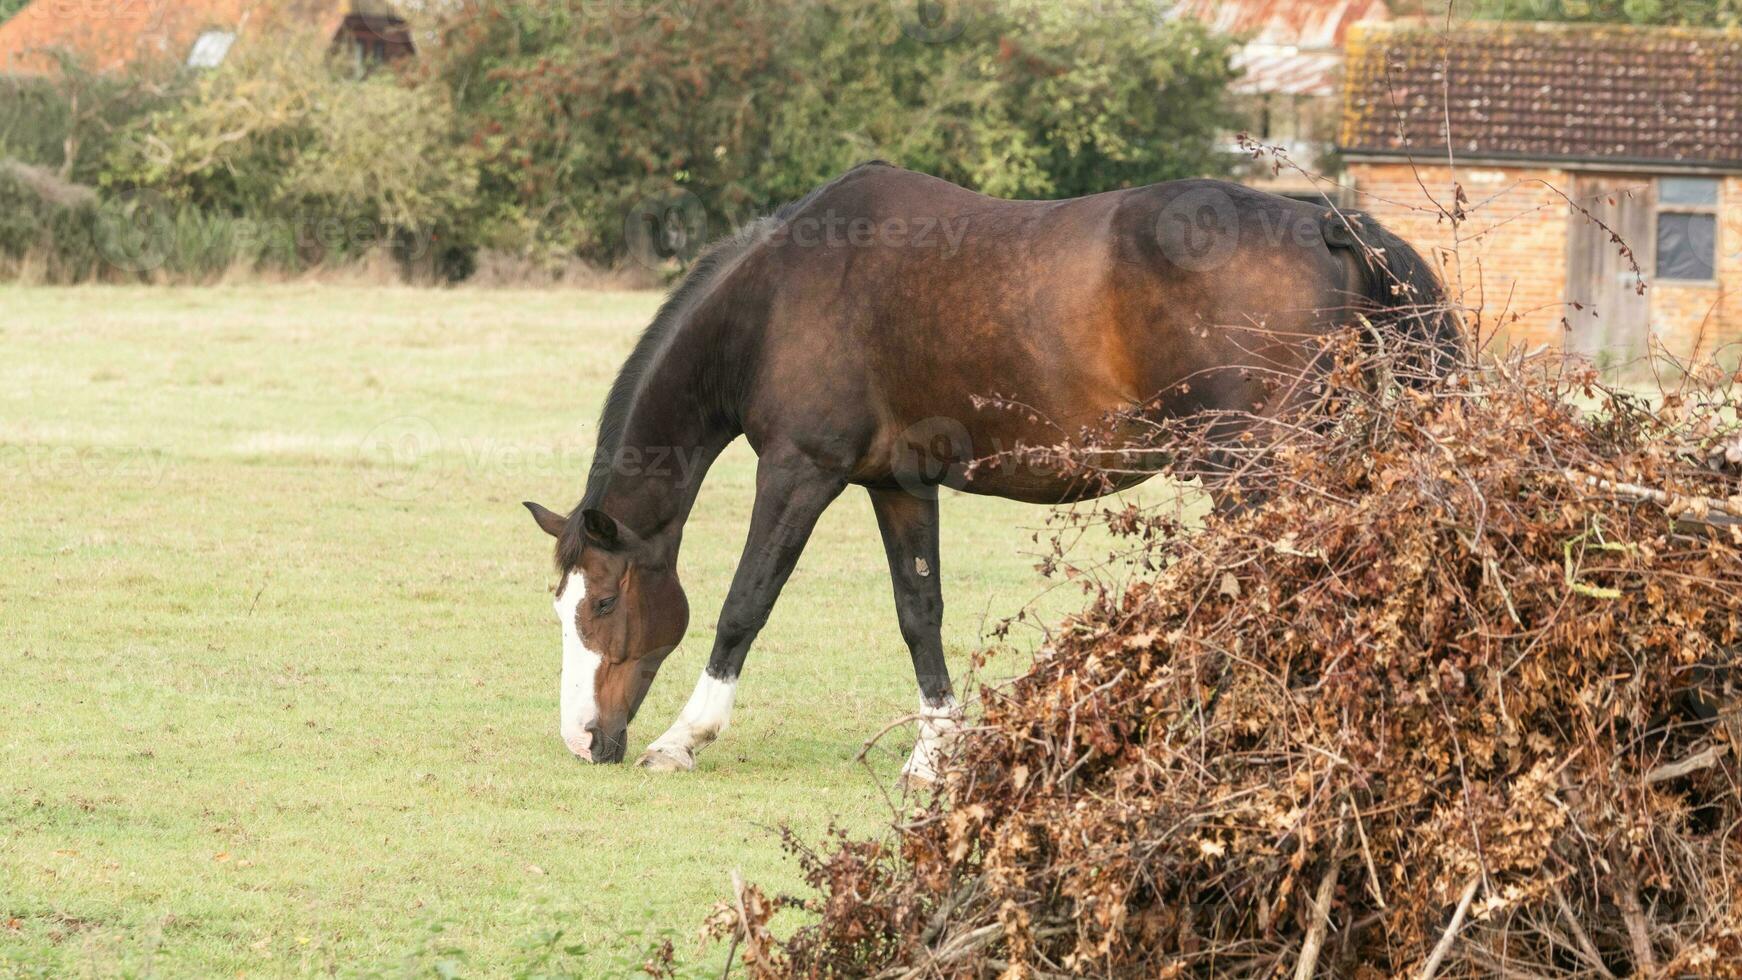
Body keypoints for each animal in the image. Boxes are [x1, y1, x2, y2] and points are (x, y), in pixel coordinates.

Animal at [515, 162, 1456, 776]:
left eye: (602, 603)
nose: (582, 740)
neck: (778, 297)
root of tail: (1325, 224)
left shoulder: (798, 472)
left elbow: (745, 603)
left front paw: (685, 737)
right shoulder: (896, 485)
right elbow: (919, 613)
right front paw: (936, 753)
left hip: (1255, 474)